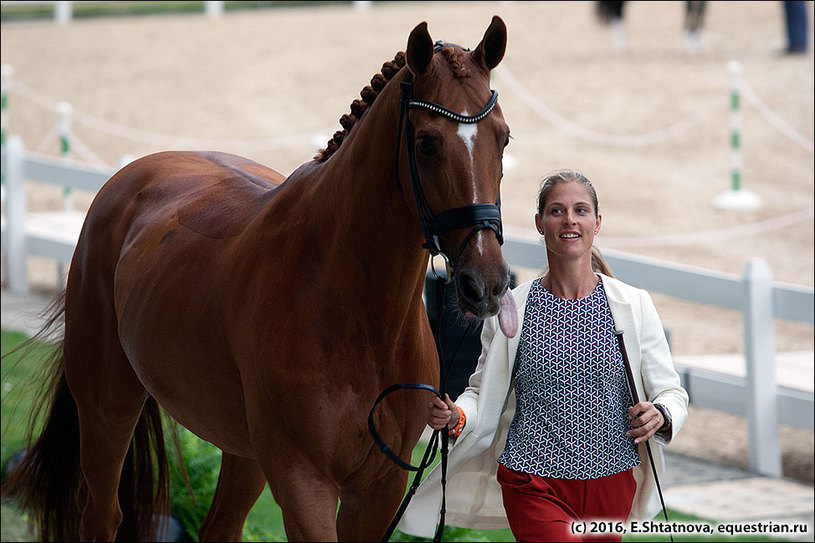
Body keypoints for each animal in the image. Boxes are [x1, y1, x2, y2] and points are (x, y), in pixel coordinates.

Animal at [1, 14, 516, 540]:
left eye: (503, 137)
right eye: (426, 143)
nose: (487, 283)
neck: (356, 313)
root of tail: (129, 179)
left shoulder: (379, 486)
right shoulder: (302, 479)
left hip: (243, 451)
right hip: (107, 408)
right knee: (103, 514)